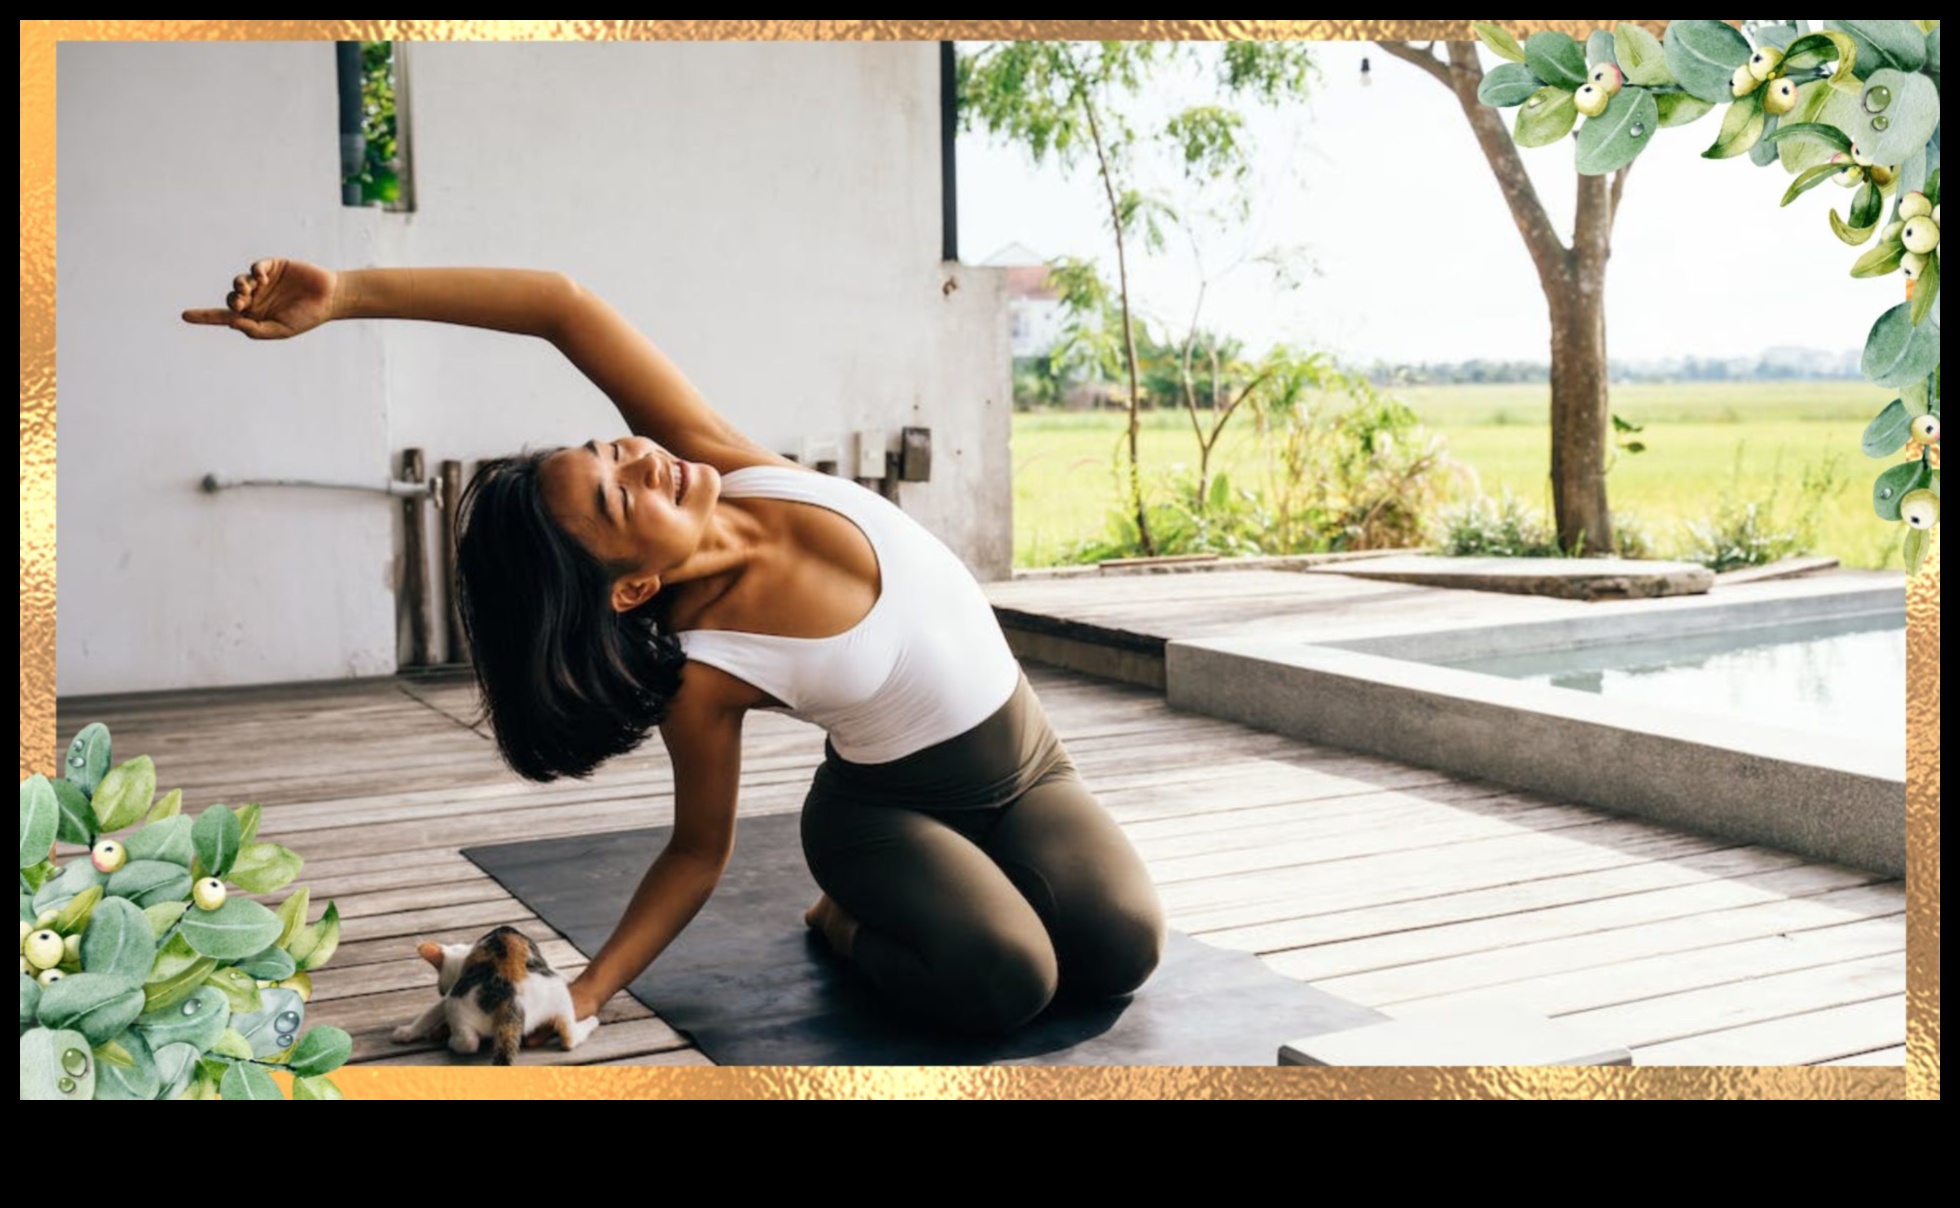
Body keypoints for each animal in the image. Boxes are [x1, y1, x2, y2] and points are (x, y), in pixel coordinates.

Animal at [386, 925, 591, 1058]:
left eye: (441, 990)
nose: (443, 992)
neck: (467, 954)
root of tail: (511, 997)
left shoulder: (450, 994)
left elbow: (429, 1014)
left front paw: (407, 1031)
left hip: (458, 1002)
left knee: (469, 1042)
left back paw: (452, 1041)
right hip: (558, 994)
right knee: (569, 1038)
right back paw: (590, 1023)